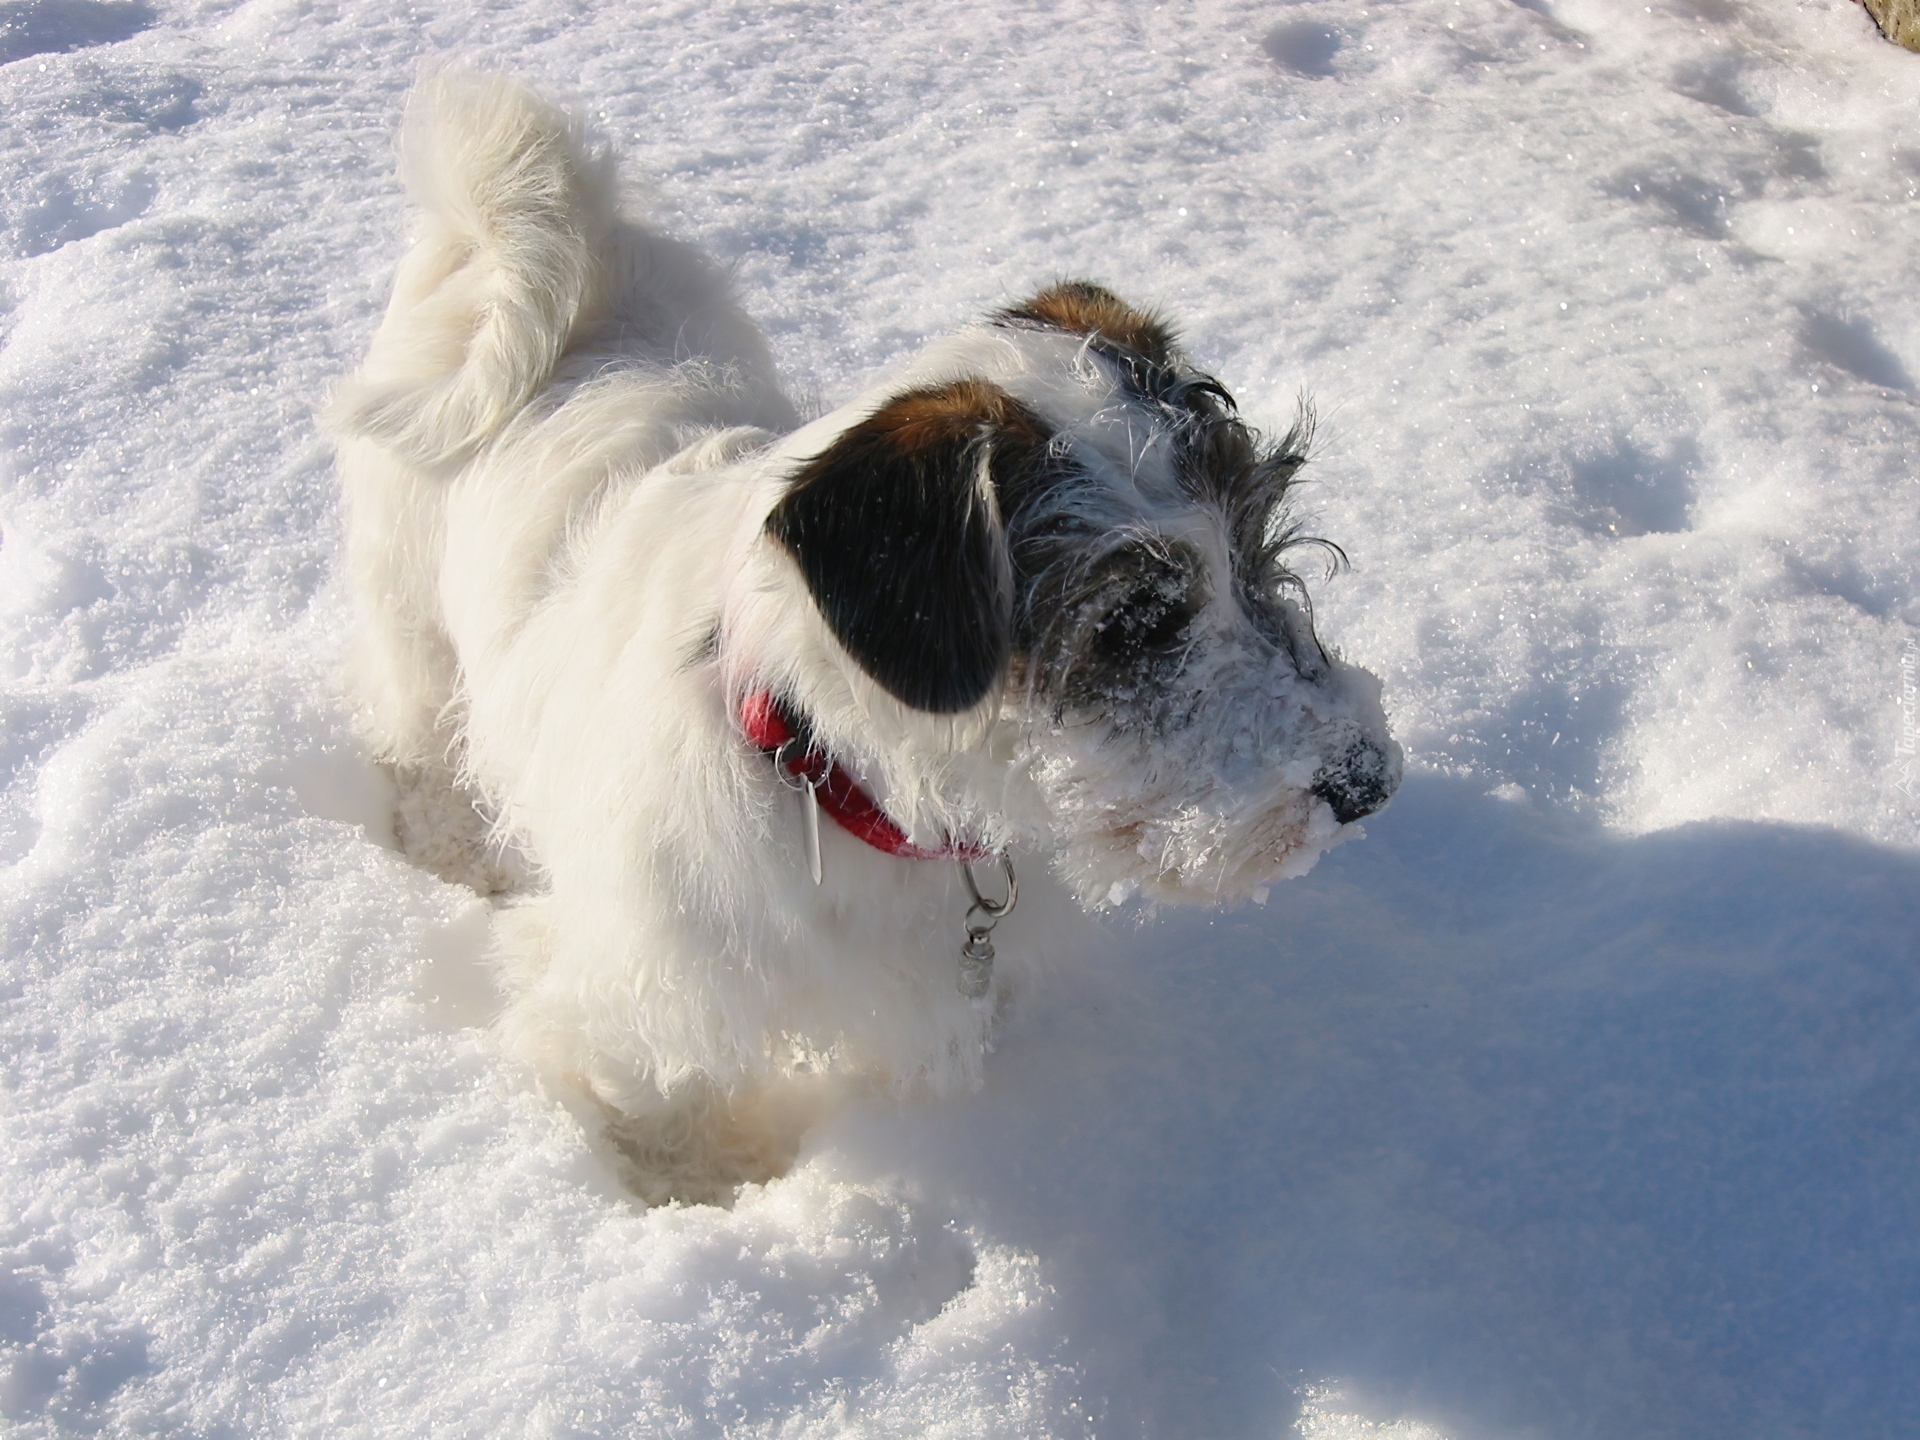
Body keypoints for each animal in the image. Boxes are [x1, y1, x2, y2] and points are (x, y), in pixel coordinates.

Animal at [330, 76, 1405, 1205]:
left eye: (1260, 544)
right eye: (1137, 622)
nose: (1367, 781)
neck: (832, 778)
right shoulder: (643, 999)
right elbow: (657, 1105)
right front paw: (702, 1197)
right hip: (407, 607)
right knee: (419, 725)